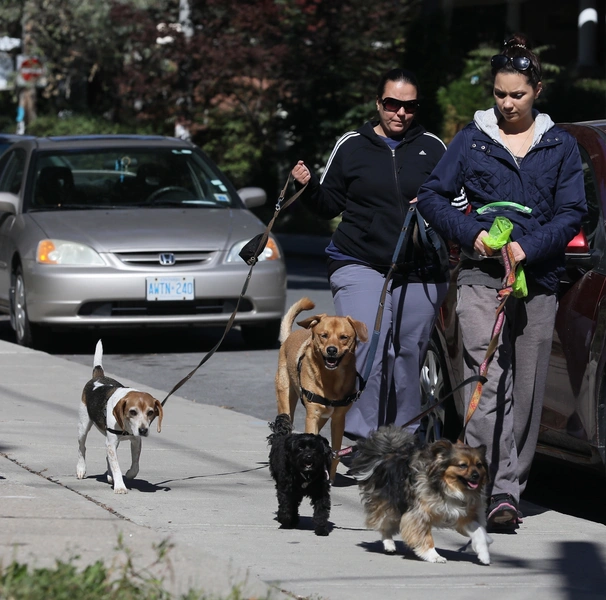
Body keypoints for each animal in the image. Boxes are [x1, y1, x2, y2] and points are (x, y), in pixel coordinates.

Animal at [276, 292, 370, 480]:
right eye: (323, 335)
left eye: (344, 337)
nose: (332, 350)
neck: (331, 379)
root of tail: (289, 337)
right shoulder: (312, 414)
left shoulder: (338, 419)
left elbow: (335, 453)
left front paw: (330, 477)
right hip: (286, 400)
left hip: (324, 417)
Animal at [352, 424, 494, 564]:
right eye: (463, 465)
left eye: (479, 465)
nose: (476, 475)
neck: (446, 486)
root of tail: (389, 452)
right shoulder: (419, 514)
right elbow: (425, 536)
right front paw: (433, 555)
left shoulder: (460, 514)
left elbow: (479, 531)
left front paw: (484, 553)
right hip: (389, 505)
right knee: (383, 524)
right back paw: (389, 544)